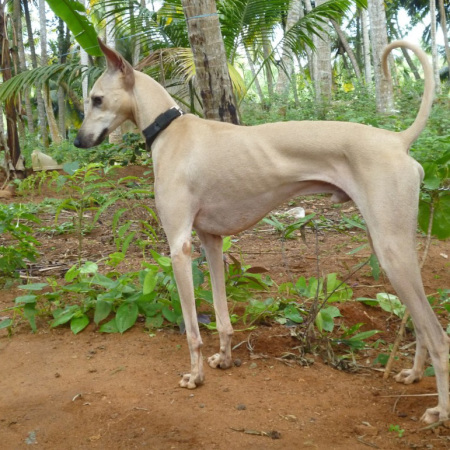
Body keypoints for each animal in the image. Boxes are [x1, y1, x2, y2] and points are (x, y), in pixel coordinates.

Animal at [75, 39, 448, 426]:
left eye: (97, 99)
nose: (77, 140)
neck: (170, 129)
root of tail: (397, 140)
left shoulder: (179, 247)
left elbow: (193, 331)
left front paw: (195, 376)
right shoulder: (210, 241)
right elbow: (222, 317)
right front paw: (224, 359)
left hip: (392, 253)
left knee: (439, 336)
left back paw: (439, 410)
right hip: (389, 248)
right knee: (421, 324)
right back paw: (414, 374)